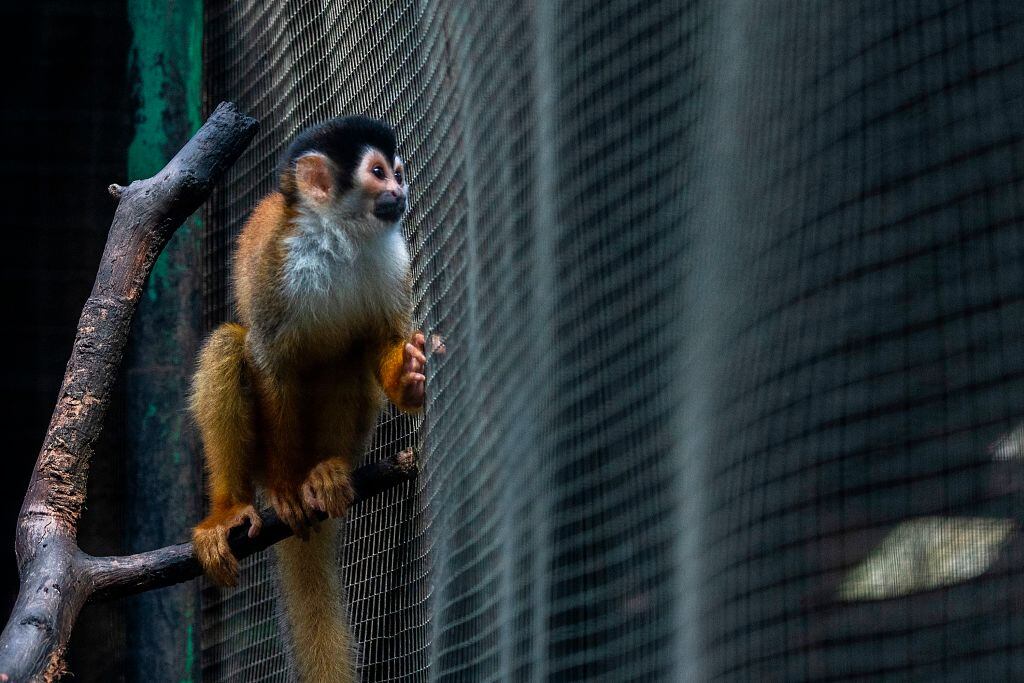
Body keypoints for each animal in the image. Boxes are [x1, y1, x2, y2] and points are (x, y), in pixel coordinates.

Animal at [189, 115, 425, 683]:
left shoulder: (394, 257)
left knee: (346, 356)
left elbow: (379, 339)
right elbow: (270, 360)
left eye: (397, 171)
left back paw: (327, 470)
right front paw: (284, 487)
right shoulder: (280, 259)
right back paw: (235, 506)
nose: (401, 191)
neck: (341, 237)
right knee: (230, 343)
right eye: (378, 173)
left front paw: (410, 378)